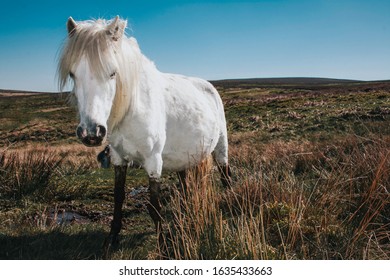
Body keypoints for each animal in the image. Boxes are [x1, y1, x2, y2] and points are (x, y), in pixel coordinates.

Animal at [56, 16, 230, 249]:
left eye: (113, 73)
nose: (91, 133)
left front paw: (163, 245)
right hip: (184, 159)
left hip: (221, 146)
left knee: (226, 175)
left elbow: (154, 206)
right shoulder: (118, 159)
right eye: (73, 74)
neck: (133, 108)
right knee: (186, 187)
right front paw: (112, 238)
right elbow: (118, 198)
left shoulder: (153, 161)